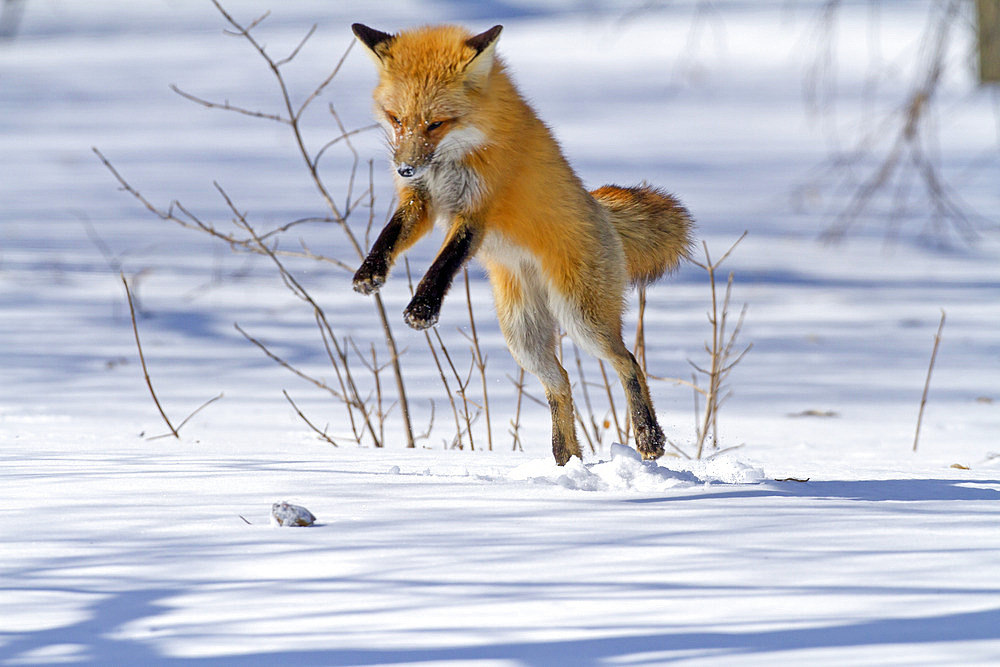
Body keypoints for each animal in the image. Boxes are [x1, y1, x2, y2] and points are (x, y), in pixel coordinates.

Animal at [354, 24, 696, 464]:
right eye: (397, 119)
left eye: (436, 124)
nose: (405, 167)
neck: (456, 157)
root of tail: (600, 209)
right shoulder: (421, 200)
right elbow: (390, 235)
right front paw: (369, 273)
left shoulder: (477, 211)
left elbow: (445, 261)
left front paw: (422, 308)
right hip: (523, 337)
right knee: (561, 382)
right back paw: (566, 460)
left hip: (581, 319)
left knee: (629, 361)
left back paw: (648, 436)